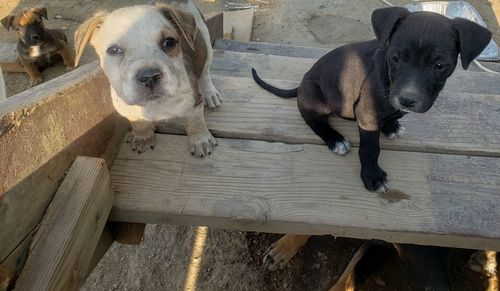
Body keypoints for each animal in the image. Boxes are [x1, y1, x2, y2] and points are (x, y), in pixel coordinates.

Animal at [73, 1, 221, 156]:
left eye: (169, 42)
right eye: (113, 50)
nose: (149, 76)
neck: (154, 104)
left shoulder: (194, 103)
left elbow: (195, 122)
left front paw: (200, 140)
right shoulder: (129, 110)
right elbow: (139, 123)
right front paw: (143, 137)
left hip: (206, 45)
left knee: (205, 72)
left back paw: (210, 93)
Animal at [254, 6, 492, 193]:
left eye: (439, 66)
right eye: (395, 58)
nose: (407, 100)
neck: (387, 77)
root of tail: (302, 84)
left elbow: (388, 118)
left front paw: (391, 125)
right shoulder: (368, 117)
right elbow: (370, 149)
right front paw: (373, 177)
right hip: (315, 97)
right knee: (313, 121)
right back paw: (335, 139)